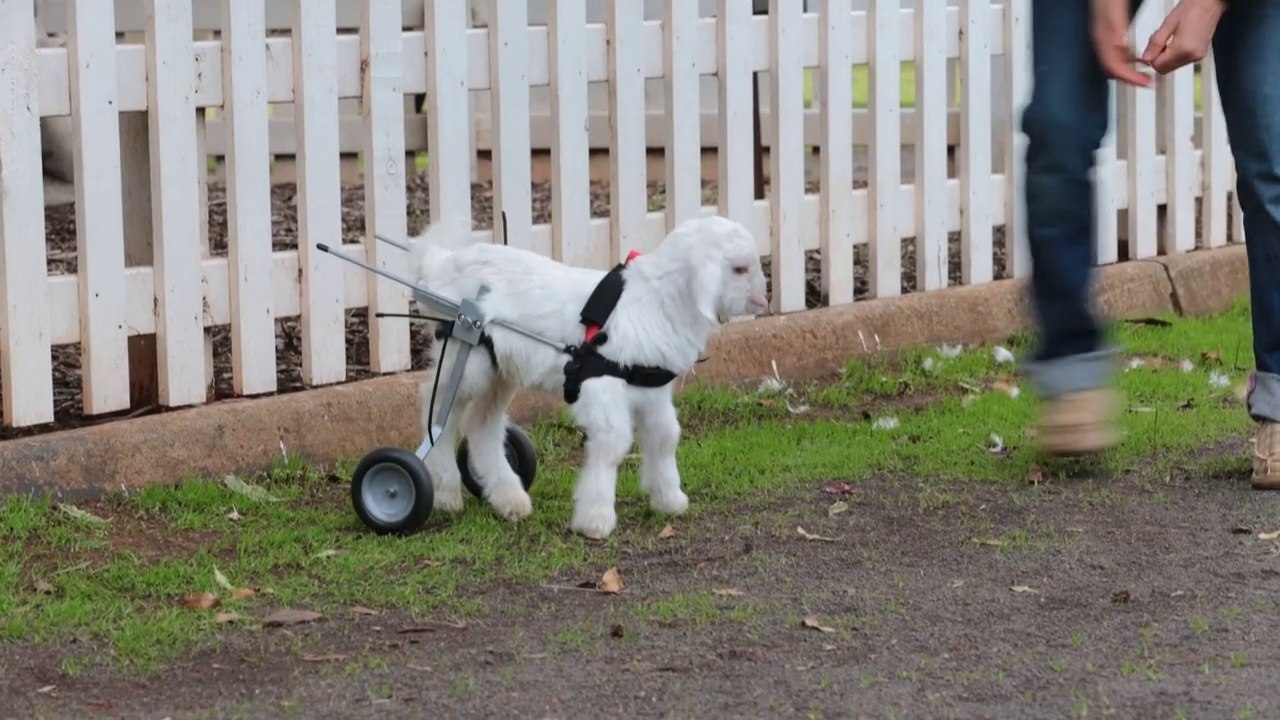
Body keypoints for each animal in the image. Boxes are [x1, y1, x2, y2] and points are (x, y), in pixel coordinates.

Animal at [406, 214, 770, 539]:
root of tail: (440, 266)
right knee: (436, 410)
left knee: (481, 423)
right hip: (467, 356)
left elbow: (666, 437)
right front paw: (594, 520)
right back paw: (446, 491)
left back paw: (510, 499)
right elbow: (613, 444)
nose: (763, 301)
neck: (654, 302)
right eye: (739, 269)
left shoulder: (651, 391)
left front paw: (669, 499)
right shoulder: (601, 386)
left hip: (501, 370)